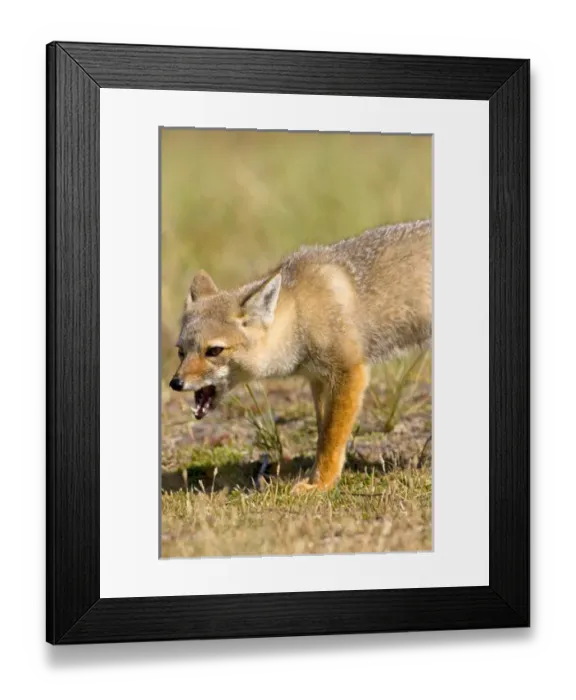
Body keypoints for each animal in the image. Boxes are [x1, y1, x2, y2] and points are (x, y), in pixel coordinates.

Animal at [169, 219, 432, 493]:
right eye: (181, 351)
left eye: (214, 351)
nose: (175, 383)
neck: (299, 312)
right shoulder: (319, 379)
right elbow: (322, 433)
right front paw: (317, 475)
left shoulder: (350, 371)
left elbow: (332, 436)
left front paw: (321, 484)